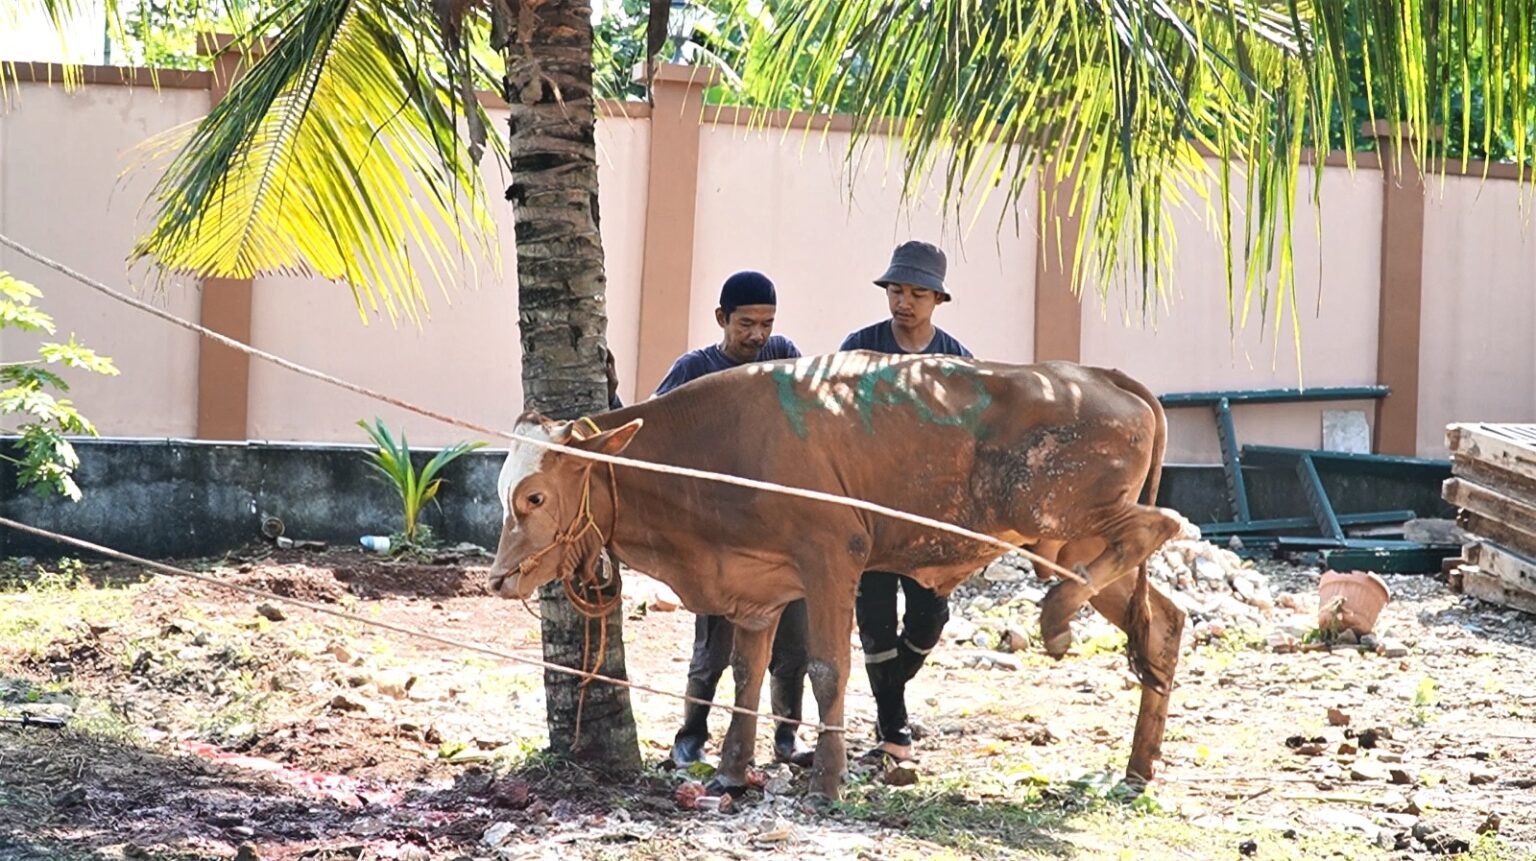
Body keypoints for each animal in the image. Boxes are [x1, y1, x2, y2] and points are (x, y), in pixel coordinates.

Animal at [491, 352, 1185, 798]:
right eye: (503, 491)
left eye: (534, 497)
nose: (498, 579)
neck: (714, 451)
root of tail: (1095, 373)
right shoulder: (756, 587)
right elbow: (747, 675)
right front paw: (732, 773)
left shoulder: (831, 558)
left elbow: (826, 670)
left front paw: (826, 781)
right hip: (1068, 539)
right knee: (1164, 621)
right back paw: (1139, 766)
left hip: (1056, 513)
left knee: (1163, 522)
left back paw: (1058, 614)